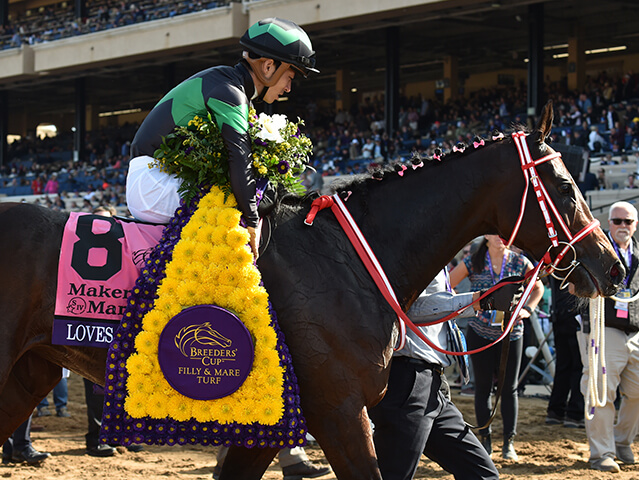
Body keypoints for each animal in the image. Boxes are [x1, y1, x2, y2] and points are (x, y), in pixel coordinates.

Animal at [0, 103, 624, 478]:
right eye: (563, 184)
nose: (613, 268)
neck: (351, 256)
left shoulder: (265, 426)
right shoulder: (340, 412)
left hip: (29, 372)